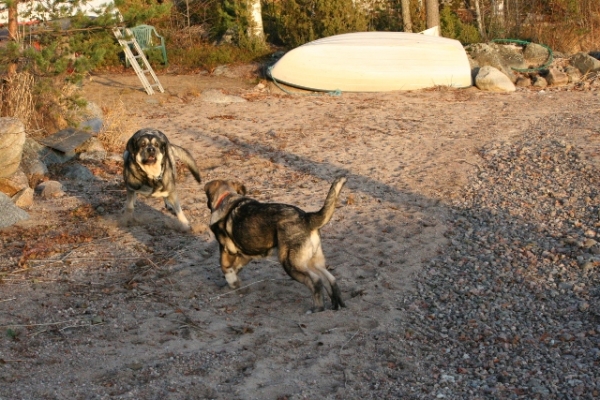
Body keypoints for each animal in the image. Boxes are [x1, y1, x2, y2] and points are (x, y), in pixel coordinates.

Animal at [205, 177, 346, 312]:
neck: (227, 198)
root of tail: (307, 218)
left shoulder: (226, 250)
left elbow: (224, 266)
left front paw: (231, 281)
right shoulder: (246, 255)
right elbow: (235, 268)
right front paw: (234, 283)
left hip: (290, 263)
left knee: (316, 281)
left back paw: (317, 308)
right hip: (312, 260)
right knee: (330, 279)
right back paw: (337, 305)